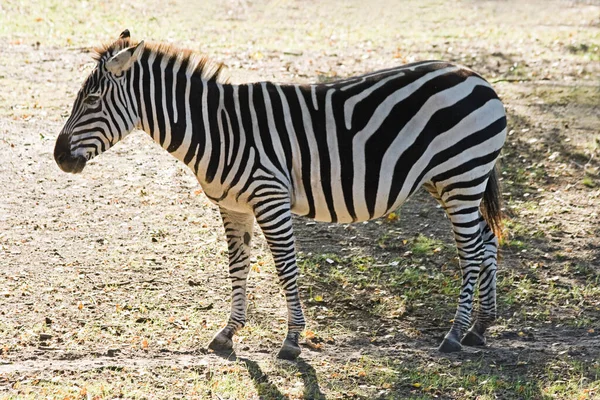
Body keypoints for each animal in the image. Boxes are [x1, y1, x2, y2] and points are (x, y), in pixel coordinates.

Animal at [55, 29, 506, 358]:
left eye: (91, 99)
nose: (58, 157)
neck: (218, 129)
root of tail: (476, 77)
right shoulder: (232, 207)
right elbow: (237, 268)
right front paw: (227, 334)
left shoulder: (270, 199)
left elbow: (286, 269)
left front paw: (291, 341)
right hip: (449, 181)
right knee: (486, 242)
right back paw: (480, 328)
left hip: (461, 176)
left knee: (470, 251)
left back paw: (454, 335)